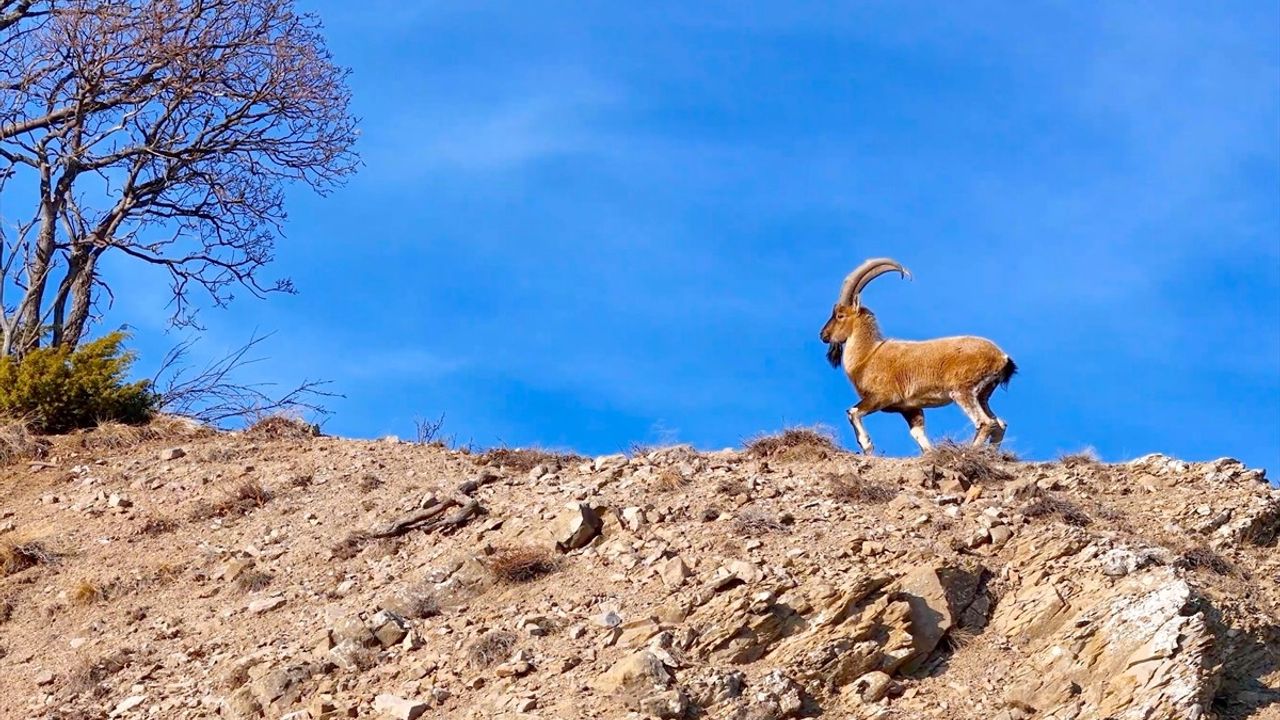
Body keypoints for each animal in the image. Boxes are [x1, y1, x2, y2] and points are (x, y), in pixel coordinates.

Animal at [819, 254, 1018, 450]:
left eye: (840, 315)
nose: (823, 335)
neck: (867, 356)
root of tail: (1003, 357)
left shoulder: (882, 396)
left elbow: (852, 412)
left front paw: (867, 445)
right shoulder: (910, 408)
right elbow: (918, 434)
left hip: (963, 391)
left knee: (985, 422)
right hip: (983, 394)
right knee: (999, 423)